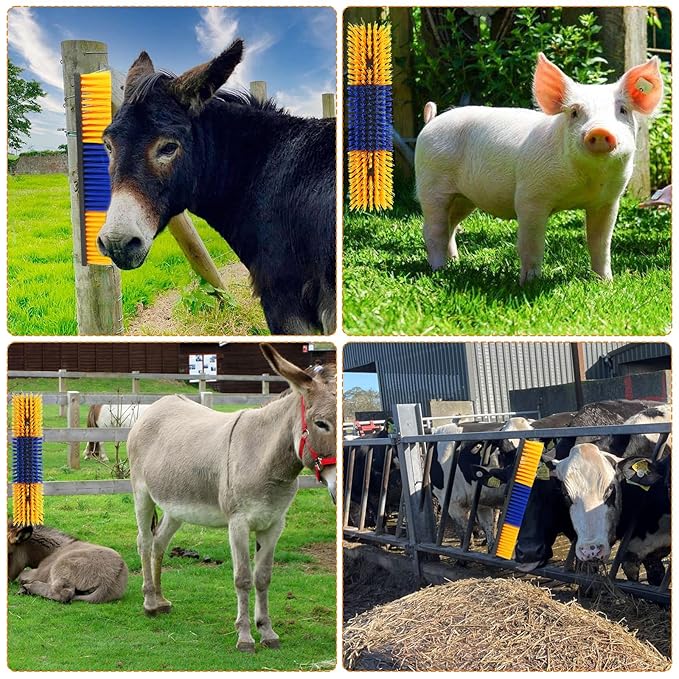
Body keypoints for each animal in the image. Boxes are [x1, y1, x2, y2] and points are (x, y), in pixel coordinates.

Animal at [126, 344, 336, 651]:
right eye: (321, 424)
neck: (264, 459)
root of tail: (158, 404)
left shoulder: (274, 524)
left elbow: (263, 577)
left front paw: (267, 632)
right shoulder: (238, 524)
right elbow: (243, 579)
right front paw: (245, 637)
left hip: (176, 506)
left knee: (158, 542)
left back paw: (162, 600)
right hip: (142, 494)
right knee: (143, 541)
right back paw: (150, 602)